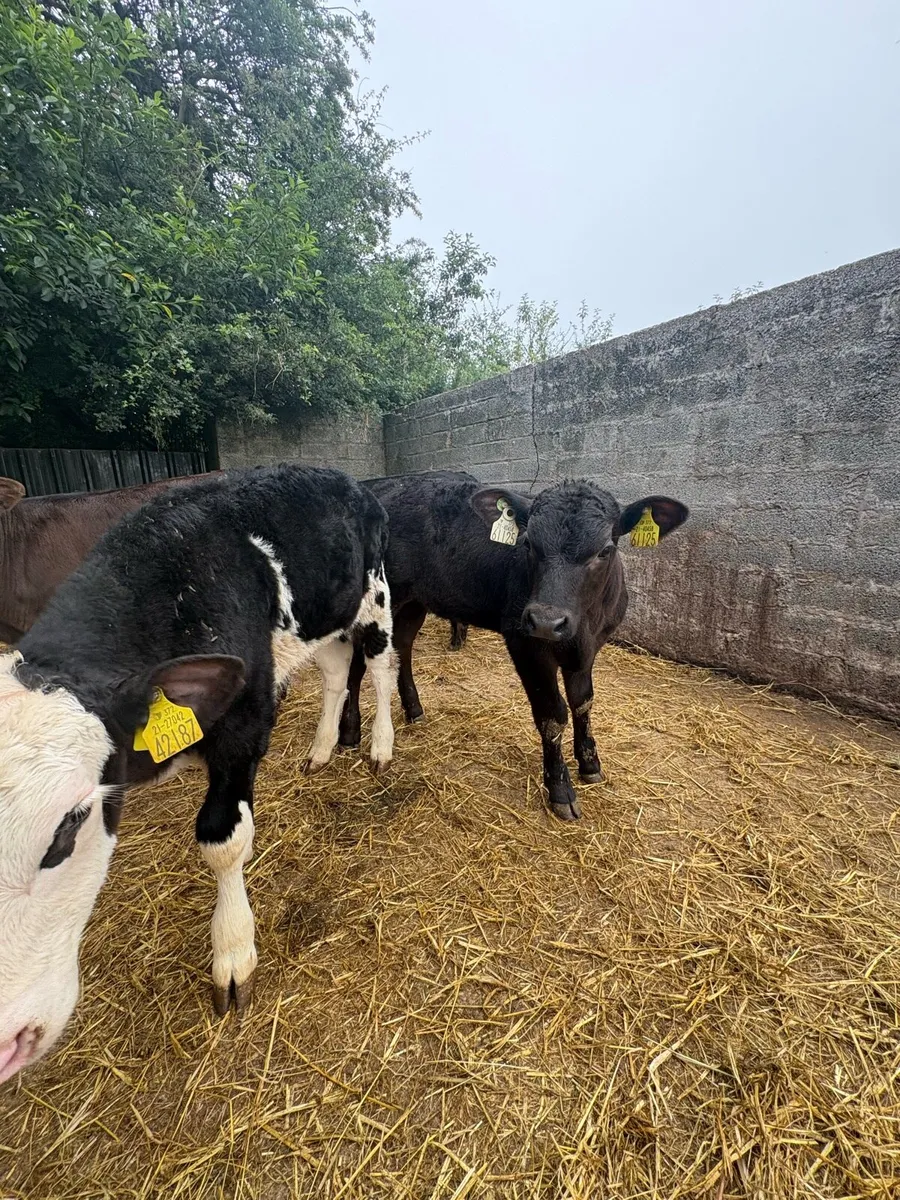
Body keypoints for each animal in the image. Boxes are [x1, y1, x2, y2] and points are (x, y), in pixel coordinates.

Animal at [339, 472, 687, 821]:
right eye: (529, 544)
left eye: (605, 550)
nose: (546, 621)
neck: (583, 631)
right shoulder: (525, 644)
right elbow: (552, 714)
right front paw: (560, 789)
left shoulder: (590, 647)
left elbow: (583, 702)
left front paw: (590, 763)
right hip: (374, 599)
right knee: (356, 661)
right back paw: (349, 731)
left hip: (414, 600)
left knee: (403, 645)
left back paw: (414, 709)